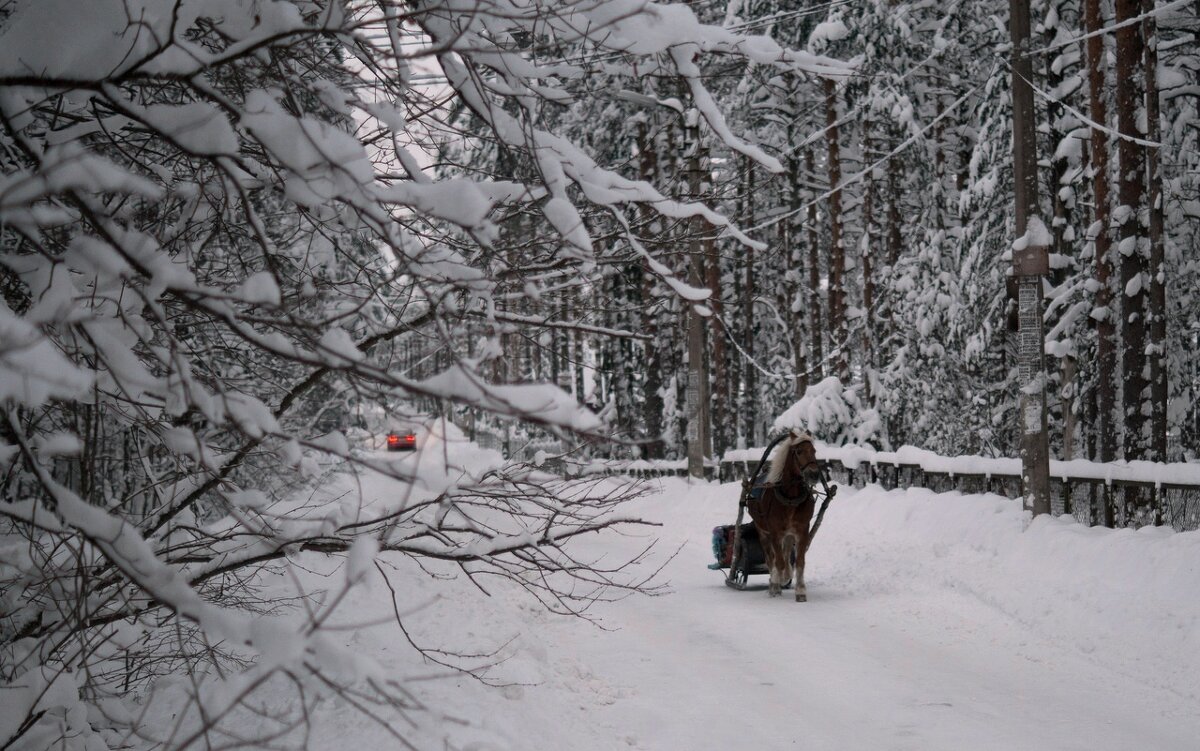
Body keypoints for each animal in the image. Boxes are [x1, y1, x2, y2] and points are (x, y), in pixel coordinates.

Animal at [744, 429, 820, 599]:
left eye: (814, 451)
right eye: (798, 452)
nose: (814, 475)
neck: (790, 498)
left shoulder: (802, 530)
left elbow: (799, 562)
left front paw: (800, 590)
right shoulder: (774, 532)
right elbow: (777, 561)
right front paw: (775, 585)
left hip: (789, 534)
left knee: (785, 554)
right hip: (762, 532)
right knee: (770, 558)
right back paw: (775, 581)